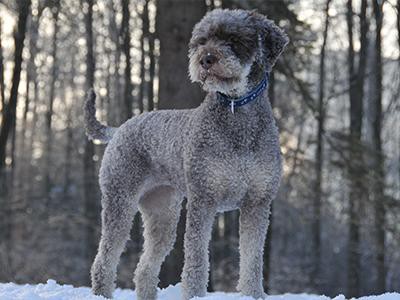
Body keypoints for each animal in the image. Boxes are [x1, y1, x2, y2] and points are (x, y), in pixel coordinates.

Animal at [86, 8, 290, 300]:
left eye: (233, 39)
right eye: (202, 41)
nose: (206, 59)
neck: (236, 112)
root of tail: (119, 129)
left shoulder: (257, 203)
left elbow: (252, 259)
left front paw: (254, 294)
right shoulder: (203, 200)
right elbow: (196, 259)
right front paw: (194, 294)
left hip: (163, 214)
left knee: (145, 267)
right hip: (119, 202)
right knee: (104, 259)